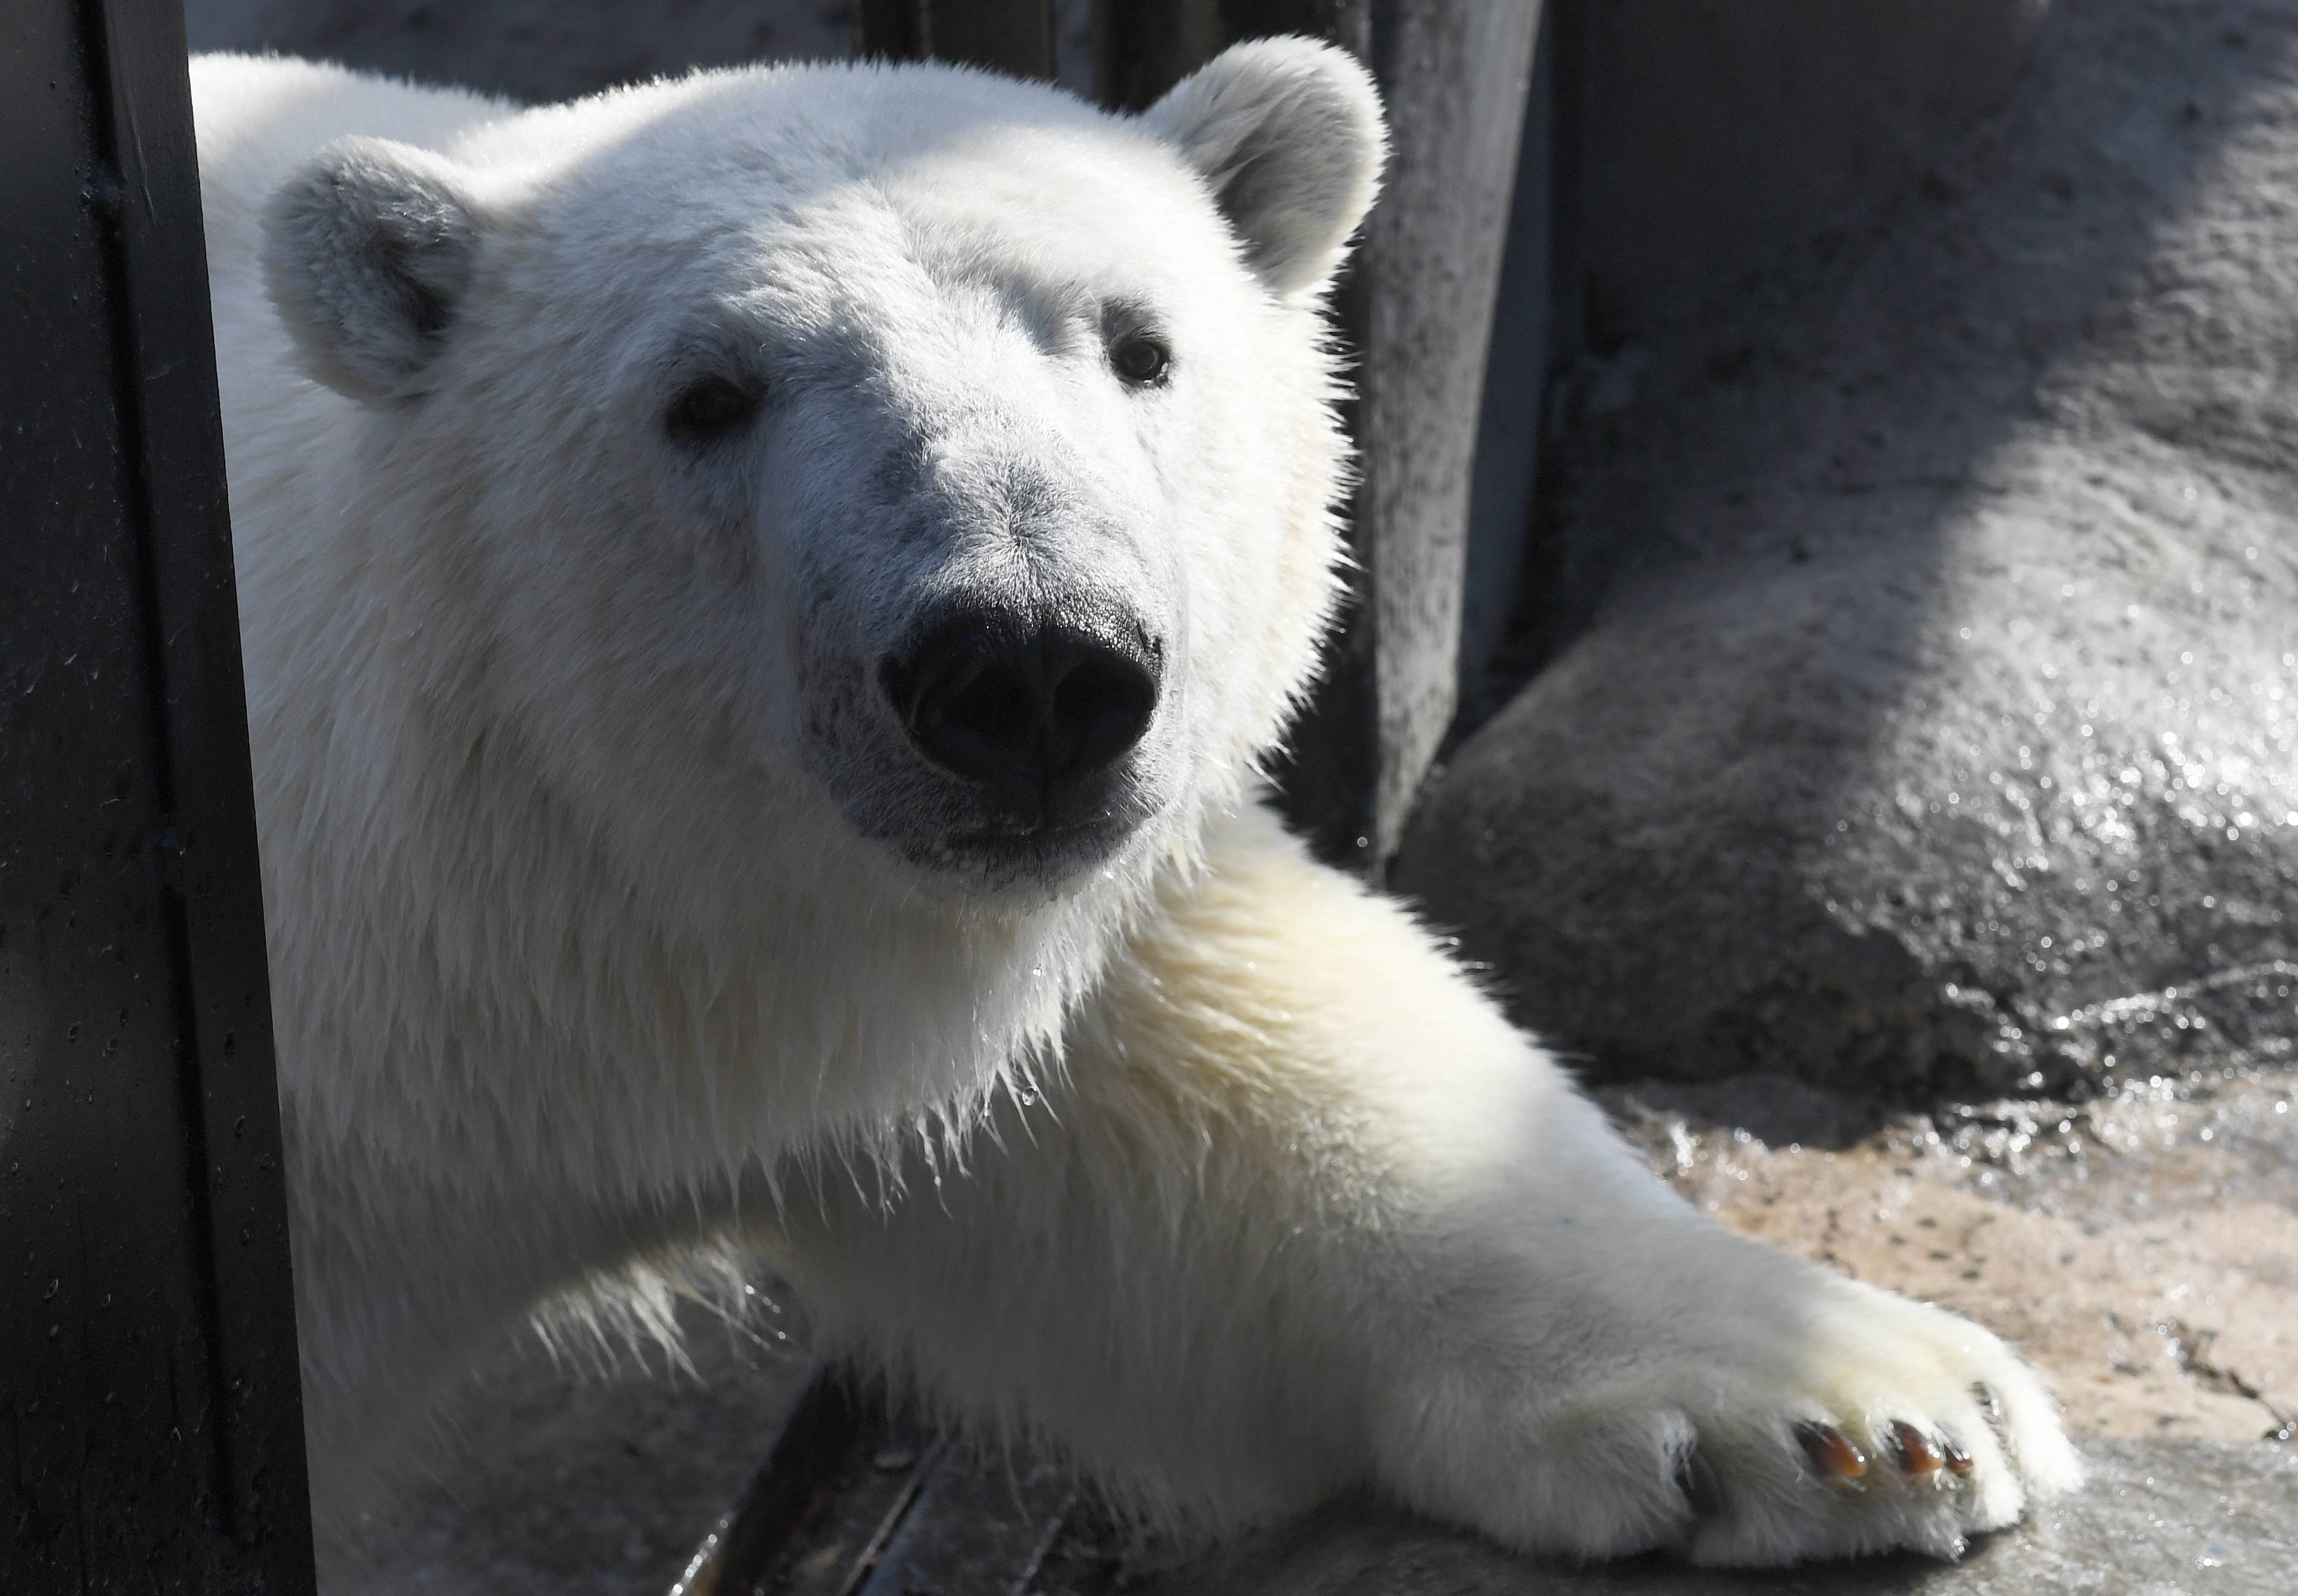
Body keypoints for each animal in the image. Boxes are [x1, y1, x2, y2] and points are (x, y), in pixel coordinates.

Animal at [193, 37, 2086, 1570]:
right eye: (706, 396)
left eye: (1137, 346)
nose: (1028, 668)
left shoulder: (971, 947)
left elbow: (1220, 1099)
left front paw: (1855, 1407)